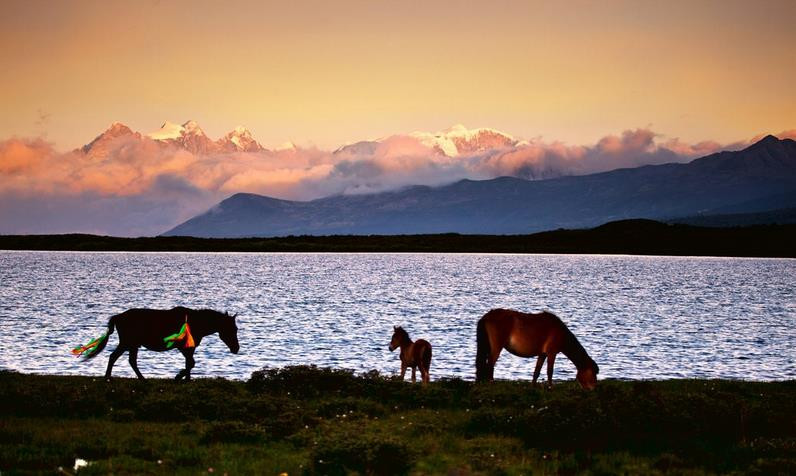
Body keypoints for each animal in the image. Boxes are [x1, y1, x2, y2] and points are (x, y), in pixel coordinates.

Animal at [71, 306, 239, 382]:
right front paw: (178, 377)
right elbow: (190, 363)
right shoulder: (183, 347)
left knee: (130, 361)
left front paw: (186, 379)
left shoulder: (188, 348)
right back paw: (109, 378)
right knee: (114, 357)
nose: (236, 349)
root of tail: (118, 317)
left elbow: (189, 363)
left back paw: (141, 379)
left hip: (132, 344)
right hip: (127, 342)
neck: (195, 322)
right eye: (232, 329)